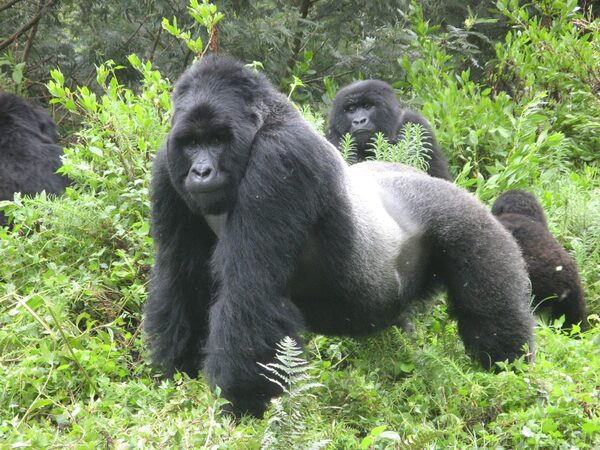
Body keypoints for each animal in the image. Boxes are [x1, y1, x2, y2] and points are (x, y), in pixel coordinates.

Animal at [144, 56, 536, 418]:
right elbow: (184, 279)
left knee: (490, 311)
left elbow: (251, 290)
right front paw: (179, 376)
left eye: (217, 140)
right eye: (191, 143)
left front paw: (240, 404)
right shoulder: (167, 166)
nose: (201, 171)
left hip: (469, 224)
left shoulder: (280, 159)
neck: (261, 126)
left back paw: (511, 374)